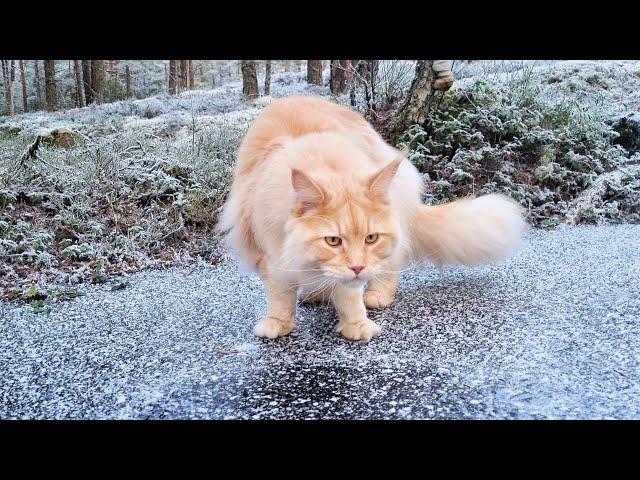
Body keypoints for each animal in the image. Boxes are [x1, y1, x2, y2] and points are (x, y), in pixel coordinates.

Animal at [218, 94, 528, 342]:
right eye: (333, 241)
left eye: (370, 238)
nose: (357, 267)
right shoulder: (269, 254)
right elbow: (281, 295)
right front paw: (279, 322)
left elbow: (349, 294)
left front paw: (357, 324)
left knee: (391, 266)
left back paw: (376, 296)